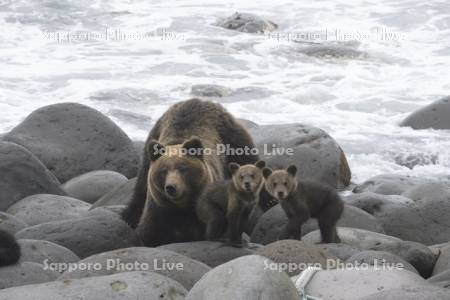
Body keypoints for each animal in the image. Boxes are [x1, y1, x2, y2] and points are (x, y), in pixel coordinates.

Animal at [121, 98, 258, 246]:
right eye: (164, 171)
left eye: (183, 168)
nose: (171, 187)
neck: (182, 207)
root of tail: (200, 100)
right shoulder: (158, 209)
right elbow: (147, 234)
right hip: (151, 145)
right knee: (140, 191)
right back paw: (128, 216)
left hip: (235, 144)